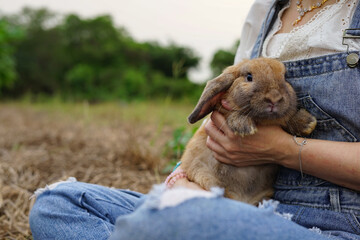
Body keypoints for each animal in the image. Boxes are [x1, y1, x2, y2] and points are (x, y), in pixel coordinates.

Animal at [180, 57, 316, 204]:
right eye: (249, 77)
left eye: (285, 78)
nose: (274, 98)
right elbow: (231, 114)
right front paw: (244, 126)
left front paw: (307, 123)